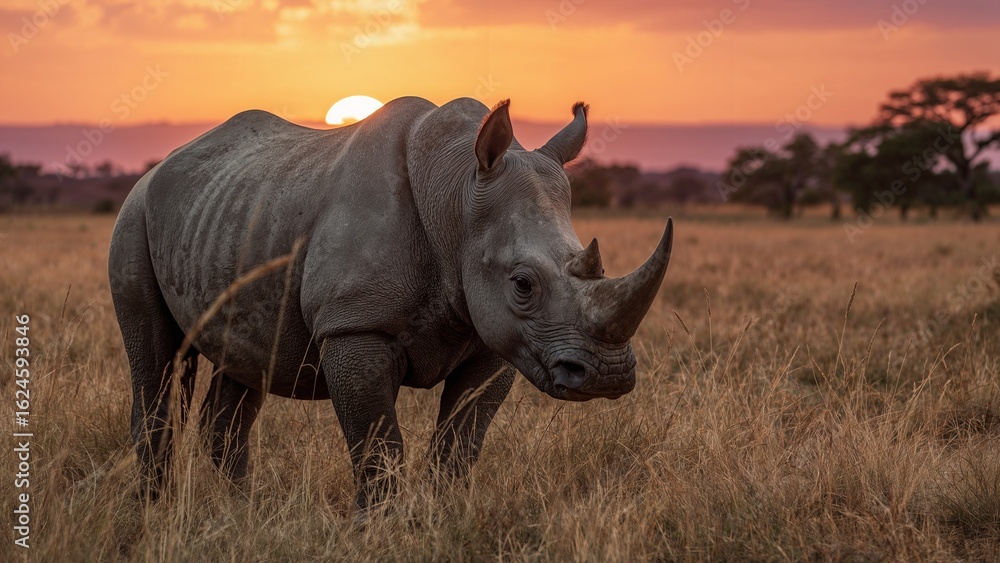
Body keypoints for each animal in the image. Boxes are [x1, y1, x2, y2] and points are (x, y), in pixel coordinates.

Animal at [109, 96, 673, 511]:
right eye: (522, 285)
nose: (607, 375)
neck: (455, 195)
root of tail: (160, 168)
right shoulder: (355, 326)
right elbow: (378, 444)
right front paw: (378, 527)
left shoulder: (496, 340)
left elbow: (460, 442)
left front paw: (446, 517)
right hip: (134, 217)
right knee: (155, 363)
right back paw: (155, 511)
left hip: (238, 215)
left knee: (244, 365)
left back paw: (241, 512)